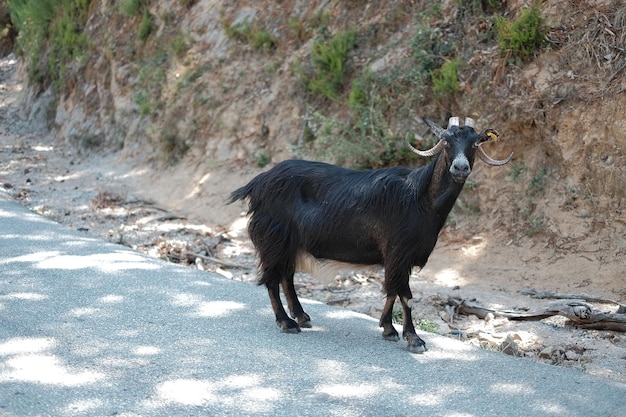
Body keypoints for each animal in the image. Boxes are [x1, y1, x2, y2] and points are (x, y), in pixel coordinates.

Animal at [227, 116, 510, 352]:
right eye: (447, 141)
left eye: (475, 143)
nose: (460, 168)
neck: (419, 199)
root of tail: (258, 183)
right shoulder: (398, 250)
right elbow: (405, 295)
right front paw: (413, 339)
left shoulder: (398, 257)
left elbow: (392, 290)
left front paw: (388, 329)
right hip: (274, 238)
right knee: (272, 280)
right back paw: (287, 322)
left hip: (291, 243)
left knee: (286, 277)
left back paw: (302, 316)